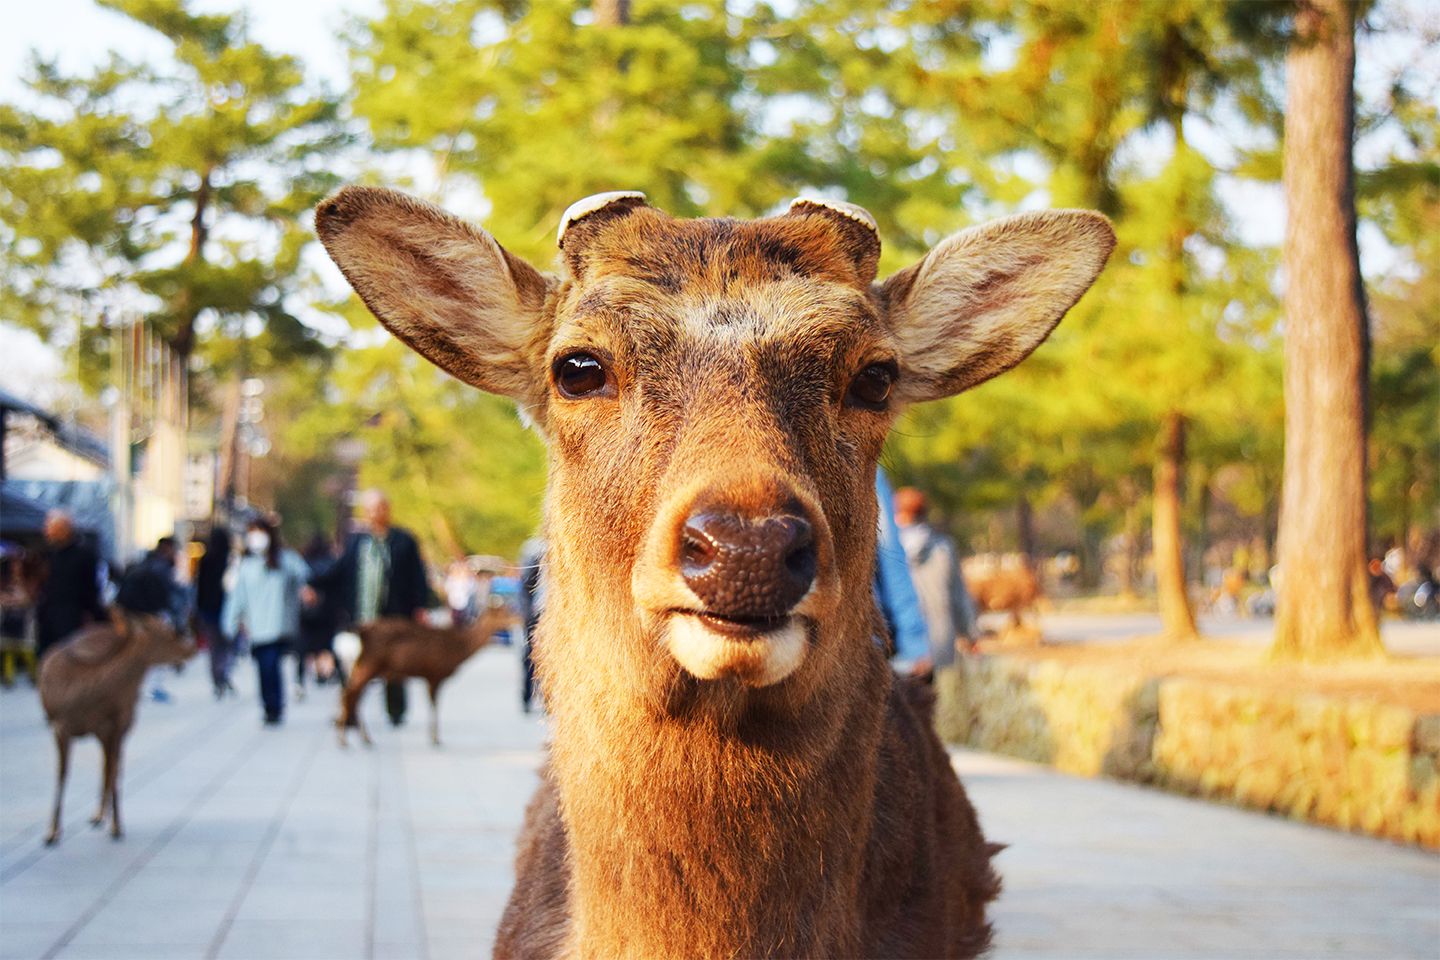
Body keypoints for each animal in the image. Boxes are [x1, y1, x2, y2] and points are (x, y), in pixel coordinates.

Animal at [37, 613, 194, 846]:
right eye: (168, 634)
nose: (191, 648)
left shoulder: (116, 724)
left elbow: (114, 770)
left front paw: (117, 827)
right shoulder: (59, 725)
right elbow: (62, 774)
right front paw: (52, 833)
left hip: (122, 723)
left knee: (111, 766)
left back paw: (103, 815)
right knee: (106, 765)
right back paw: (98, 815)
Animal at [336, 604, 518, 748]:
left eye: (510, 610)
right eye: (505, 613)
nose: (519, 619)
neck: (459, 649)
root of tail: (359, 633)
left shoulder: (430, 676)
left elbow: (433, 704)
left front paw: (433, 737)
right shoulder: (435, 673)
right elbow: (434, 704)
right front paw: (435, 739)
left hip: (359, 666)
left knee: (351, 695)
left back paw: (361, 738)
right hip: (369, 664)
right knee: (349, 694)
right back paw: (345, 740)